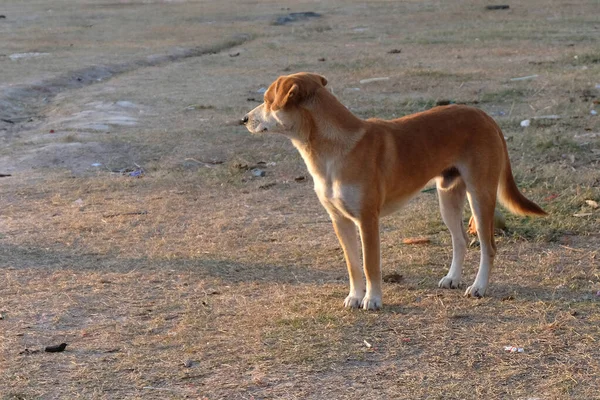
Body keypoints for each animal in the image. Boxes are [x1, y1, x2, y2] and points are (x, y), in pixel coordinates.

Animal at [241, 72, 548, 310]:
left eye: (267, 100)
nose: (243, 119)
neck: (334, 149)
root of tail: (485, 116)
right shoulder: (339, 220)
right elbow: (353, 265)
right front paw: (355, 296)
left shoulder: (367, 220)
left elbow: (370, 265)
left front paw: (373, 299)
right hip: (448, 197)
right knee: (460, 240)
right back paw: (453, 278)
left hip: (480, 196)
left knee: (488, 247)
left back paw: (478, 286)